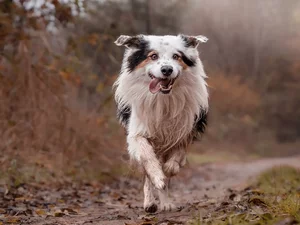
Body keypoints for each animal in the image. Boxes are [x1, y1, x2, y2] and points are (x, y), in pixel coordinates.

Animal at [113, 33, 210, 213]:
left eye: (176, 56)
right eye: (153, 56)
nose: (167, 70)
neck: (163, 99)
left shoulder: (185, 131)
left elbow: (176, 158)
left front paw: (168, 170)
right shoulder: (137, 133)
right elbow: (148, 158)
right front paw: (158, 176)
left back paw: (165, 202)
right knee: (146, 174)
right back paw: (150, 202)